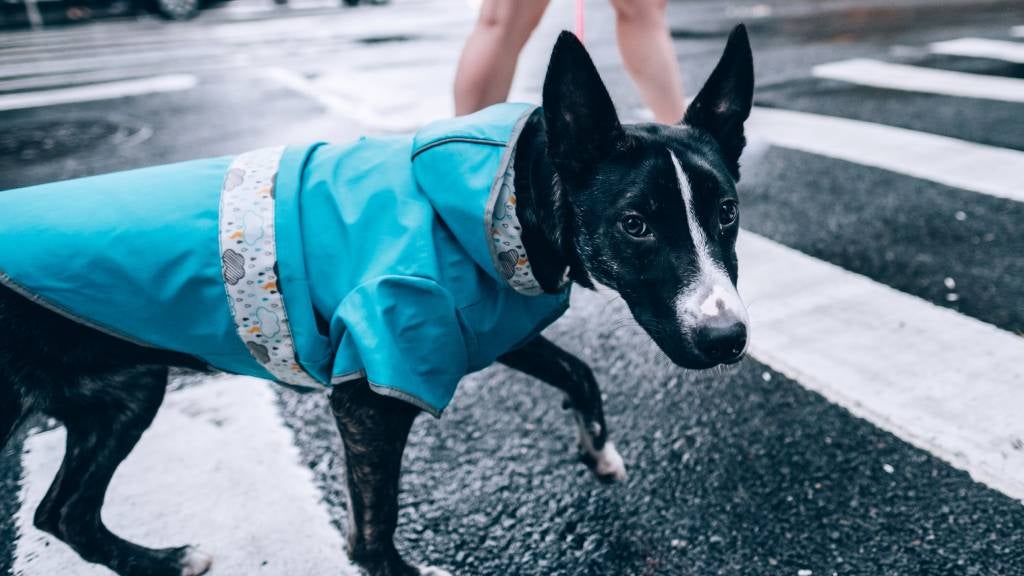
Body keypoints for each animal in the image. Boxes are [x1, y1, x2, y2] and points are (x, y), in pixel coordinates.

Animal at [0, 25, 753, 573]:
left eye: (727, 212)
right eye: (635, 224)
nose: (728, 341)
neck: (514, 190)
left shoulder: (482, 324)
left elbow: (578, 370)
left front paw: (597, 448)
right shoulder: (372, 393)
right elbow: (372, 529)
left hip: (123, 391)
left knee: (62, 513)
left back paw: (156, 561)